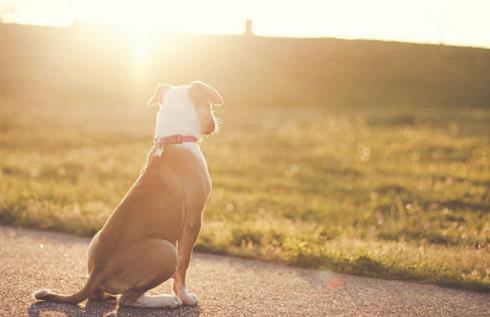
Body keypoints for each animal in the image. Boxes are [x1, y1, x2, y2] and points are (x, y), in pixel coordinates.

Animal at [34, 80, 224, 308]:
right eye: (209, 105)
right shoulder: (193, 221)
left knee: (98, 295)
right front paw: (185, 297)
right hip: (167, 251)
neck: (172, 140)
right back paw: (164, 300)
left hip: (98, 243)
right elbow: (183, 266)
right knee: (128, 299)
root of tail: (98, 269)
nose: (215, 124)